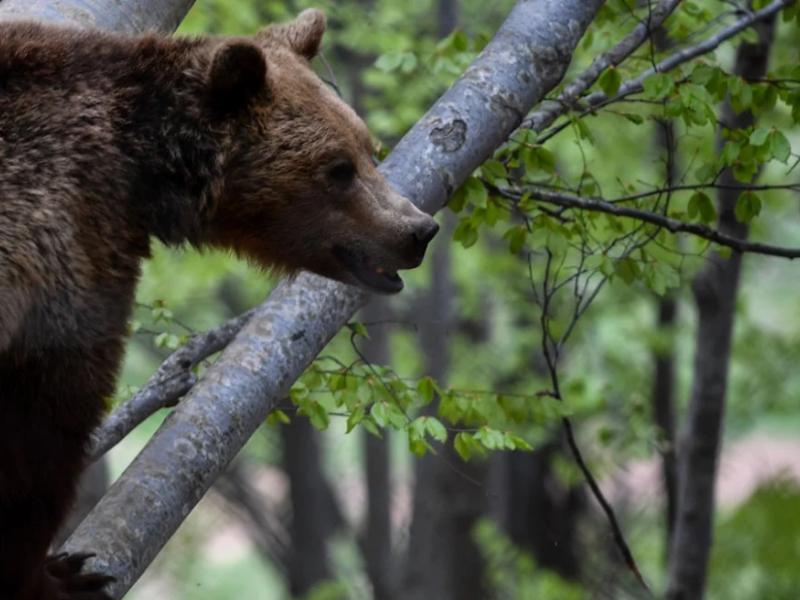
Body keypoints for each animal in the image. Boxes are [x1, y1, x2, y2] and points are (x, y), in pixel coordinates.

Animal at [0, 10, 438, 600]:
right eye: (339, 168)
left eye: (369, 148)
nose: (418, 230)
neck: (141, 168)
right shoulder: (66, 237)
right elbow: (48, 422)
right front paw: (56, 574)